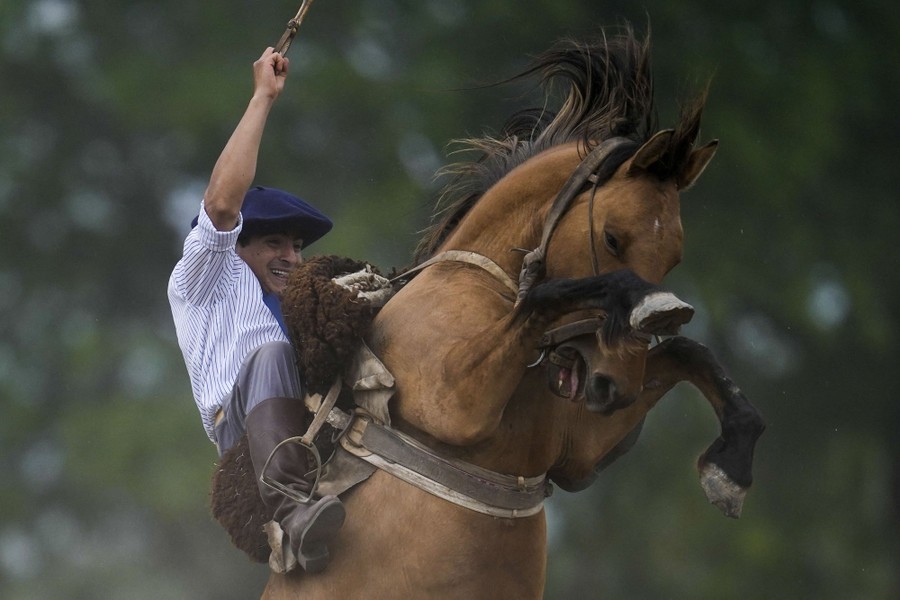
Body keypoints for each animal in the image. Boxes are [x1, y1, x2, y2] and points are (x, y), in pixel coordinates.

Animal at [263, 26, 764, 599]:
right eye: (613, 238)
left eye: (674, 258)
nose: (615, 385)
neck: (484, 290)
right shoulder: (454, 399)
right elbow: (547, 298)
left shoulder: (578, 453)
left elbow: (690, 352)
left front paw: (731, 467)